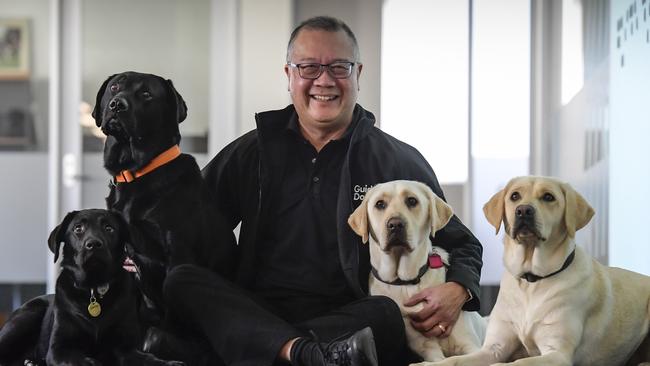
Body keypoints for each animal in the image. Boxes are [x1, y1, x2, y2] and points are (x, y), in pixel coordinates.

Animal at [0, 209, 184, 366]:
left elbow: (147, 358)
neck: (93, 289)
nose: (94, 244)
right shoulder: (59, 349)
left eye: (109, 228)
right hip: (26, 317)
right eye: (78, 228)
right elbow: (80, 360)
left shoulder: (125, 347)